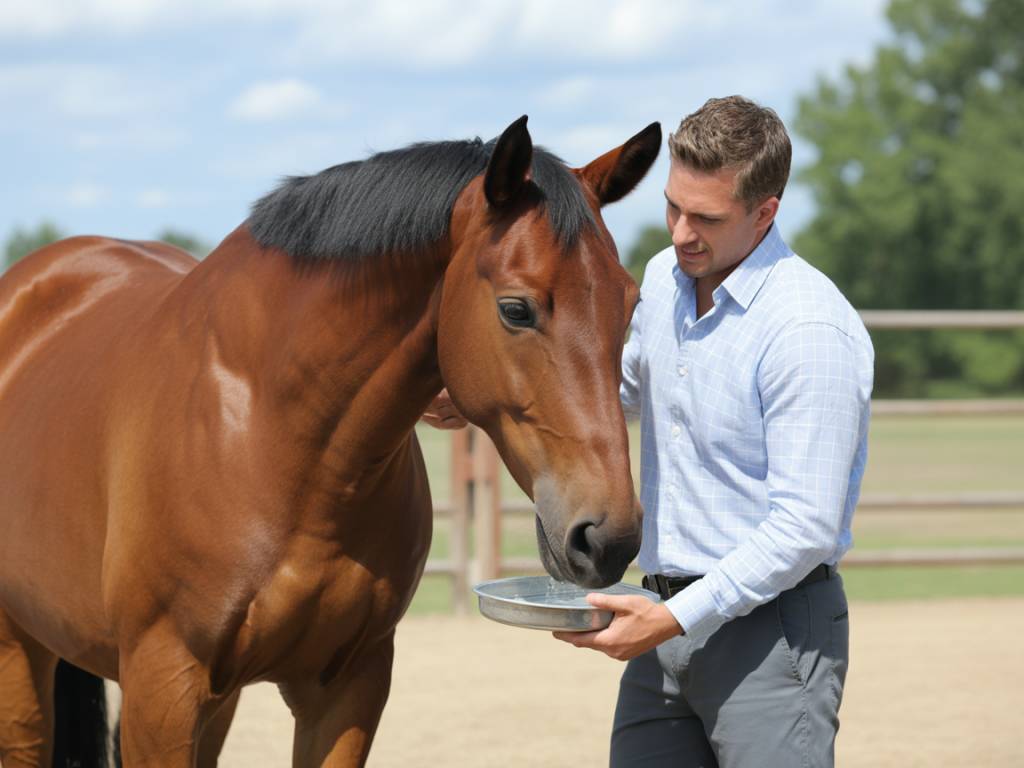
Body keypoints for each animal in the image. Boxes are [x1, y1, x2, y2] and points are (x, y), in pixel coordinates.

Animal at [0, 115, 660, 767]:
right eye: (516, 309)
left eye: (631, 303)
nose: (609, 537)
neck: (276, 438)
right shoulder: (162, 690)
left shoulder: (348, 686)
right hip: (21, 651)